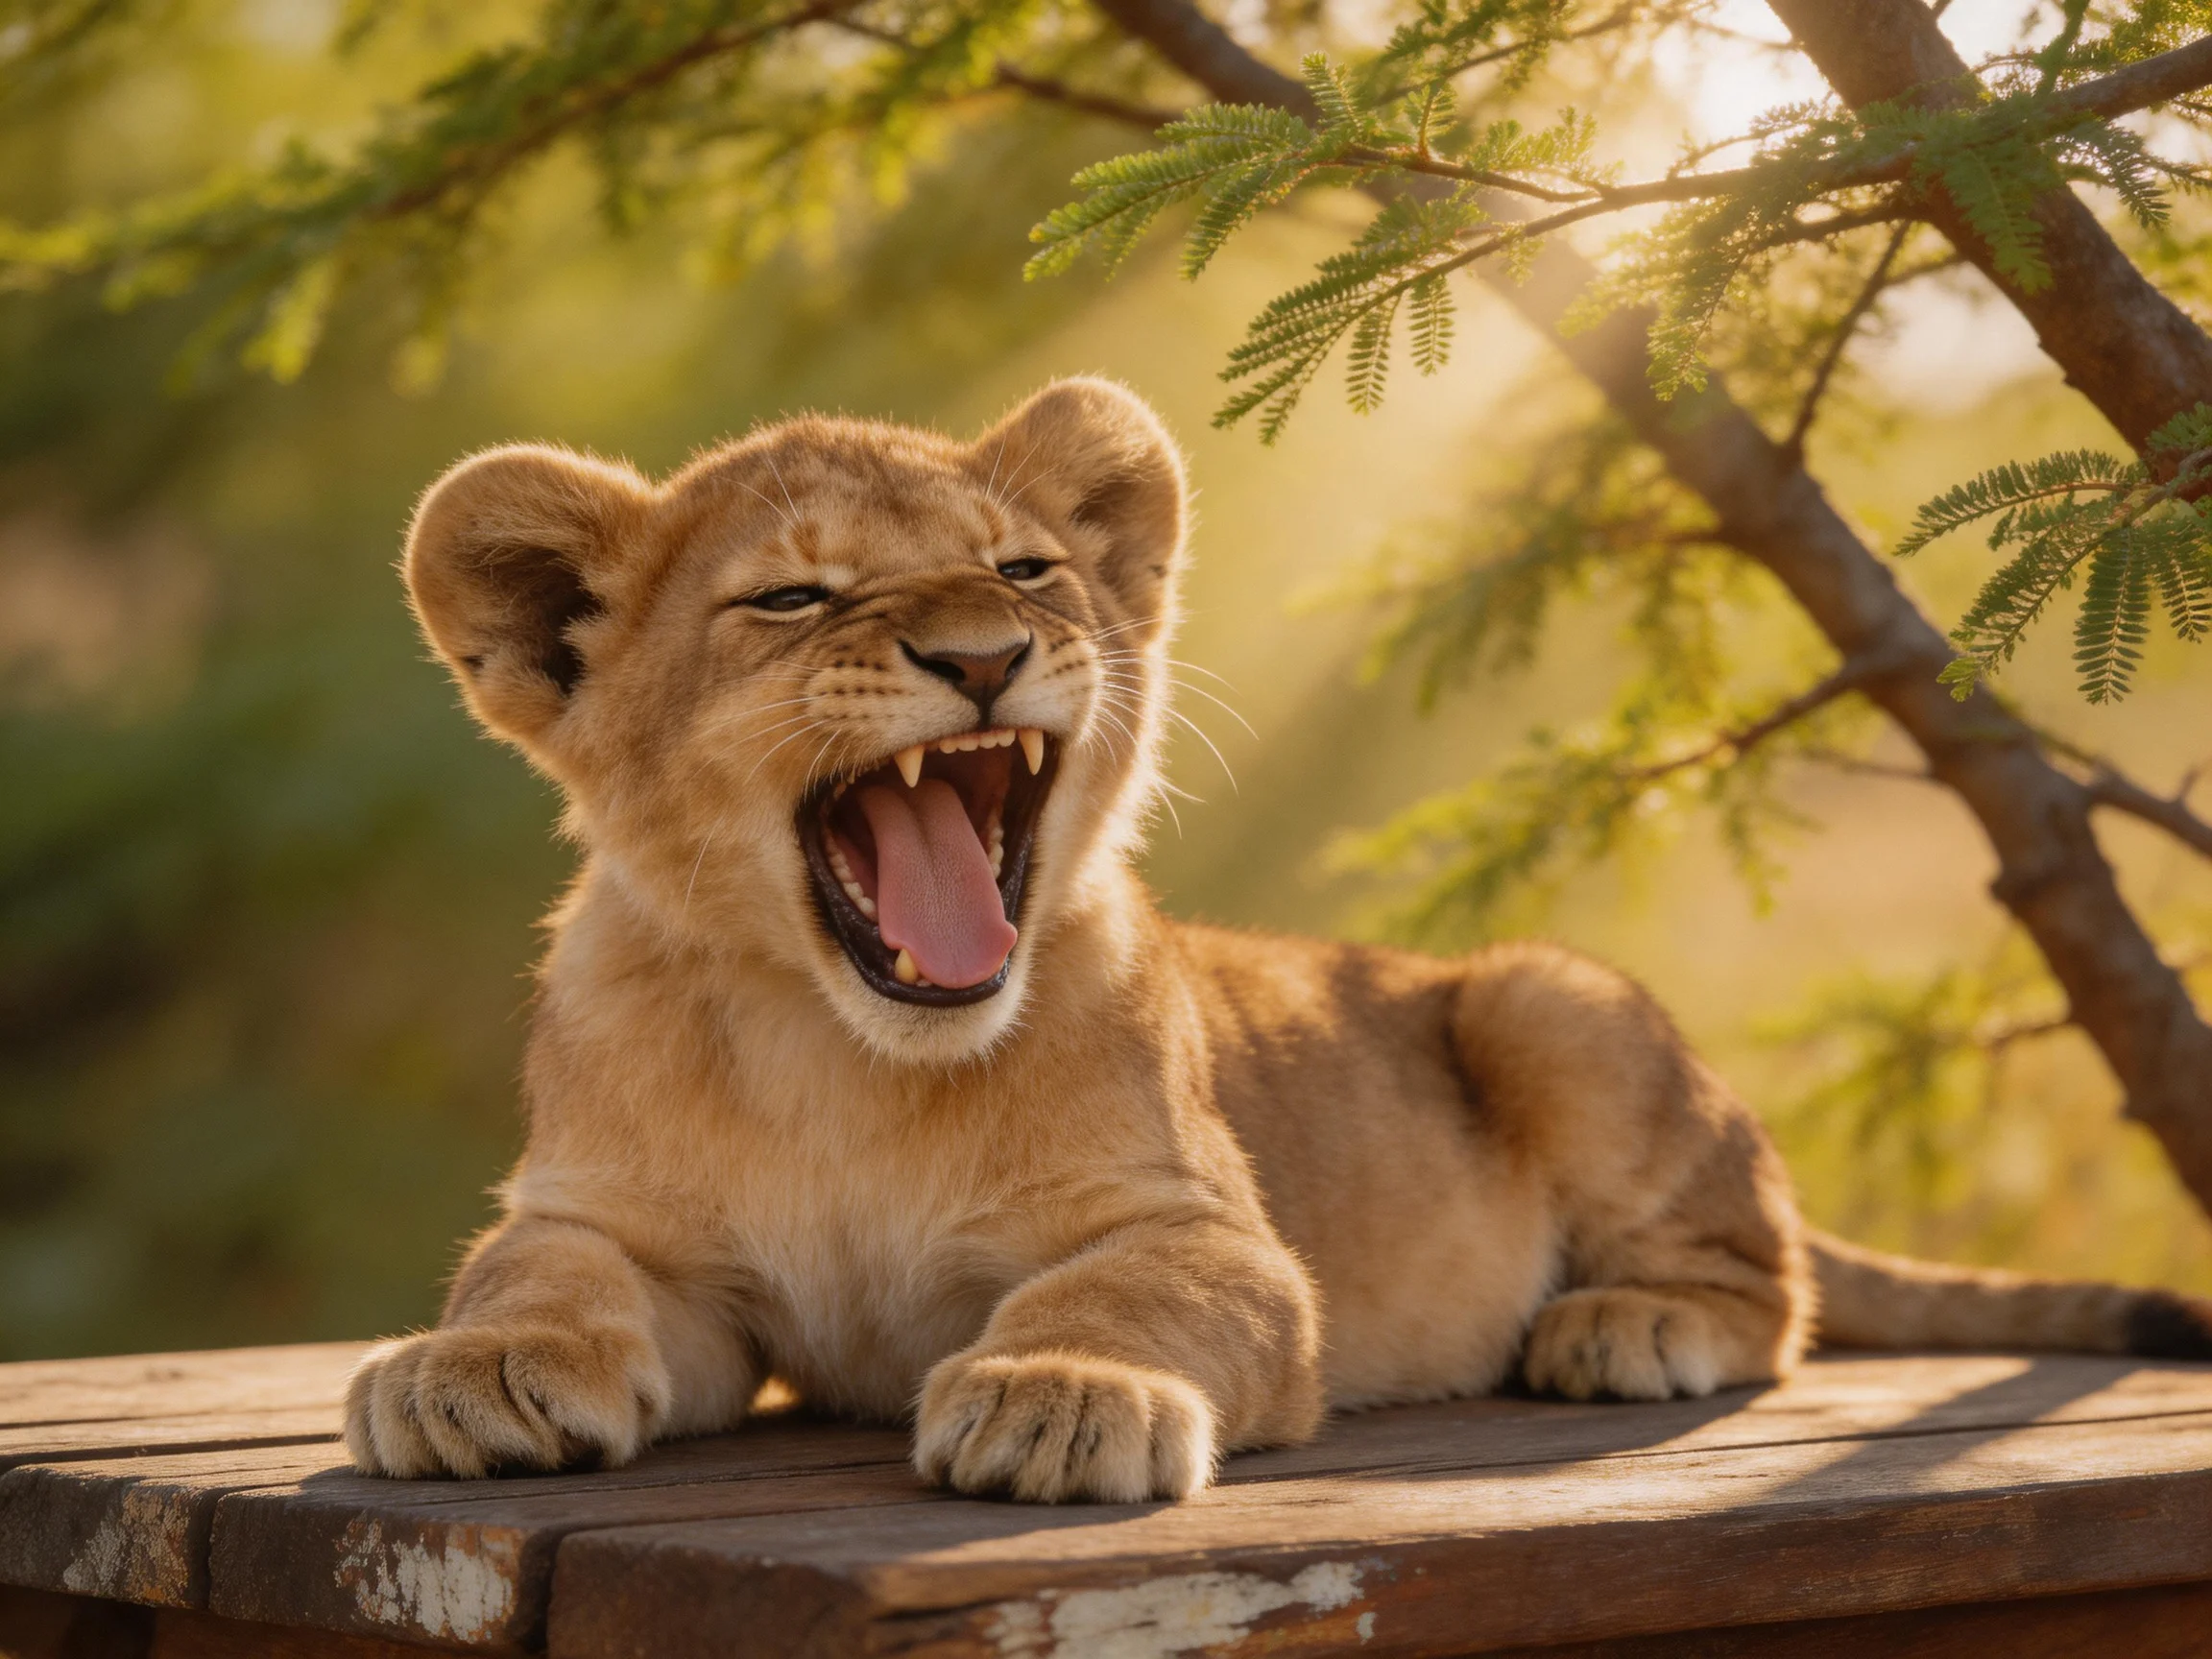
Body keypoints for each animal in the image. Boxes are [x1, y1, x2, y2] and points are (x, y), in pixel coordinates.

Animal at [346, 378, 2212, 1502]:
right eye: (791, 598)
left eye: (1024, 571)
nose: (980, 655)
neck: (839, 1051)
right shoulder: (632, 1238)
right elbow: (542, 1270)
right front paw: (466, 1372)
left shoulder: (1211, 1235)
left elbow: (1118, 1287)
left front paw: (1059, 1395)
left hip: (1541, 996)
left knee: (1781, 1284)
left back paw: (1622, 1326)